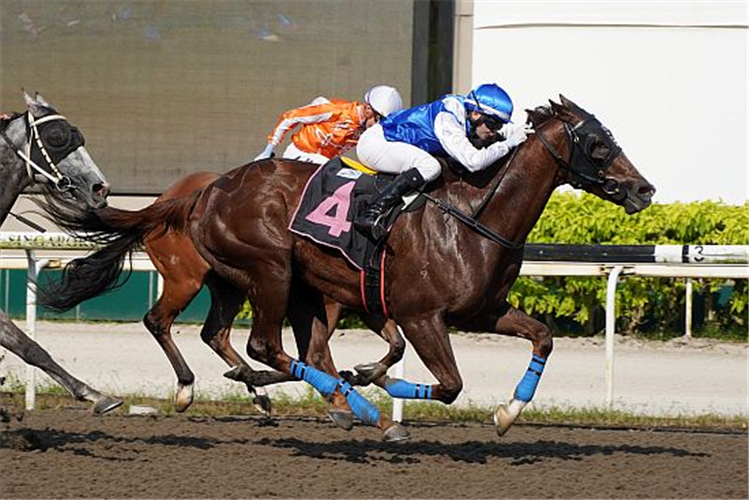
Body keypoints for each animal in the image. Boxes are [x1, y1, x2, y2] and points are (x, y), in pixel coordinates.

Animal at [39, 95, 656, 440]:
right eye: (597, 145)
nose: (644, 189)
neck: (475, 217)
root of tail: (205, 191)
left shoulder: (482, 312)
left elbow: (543, 338)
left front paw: (508, 413)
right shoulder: (419, 314)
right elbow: (448, 384)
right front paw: (377, 389)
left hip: (266, 284)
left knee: (255, 344)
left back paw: (310, 396)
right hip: (266, 270)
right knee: (247, 342)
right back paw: (336, 402)